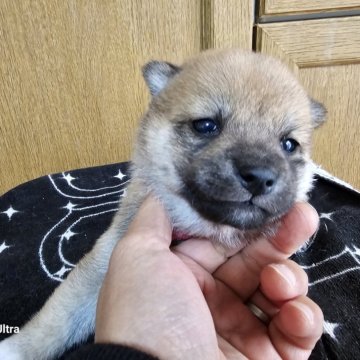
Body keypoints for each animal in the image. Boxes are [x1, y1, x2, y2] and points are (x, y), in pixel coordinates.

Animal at [0, 48, 326, 360]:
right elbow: (59, 316)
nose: (259, 177)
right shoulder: (105, 259)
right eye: (206, 125)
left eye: (288, 144)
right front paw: (16, 349)